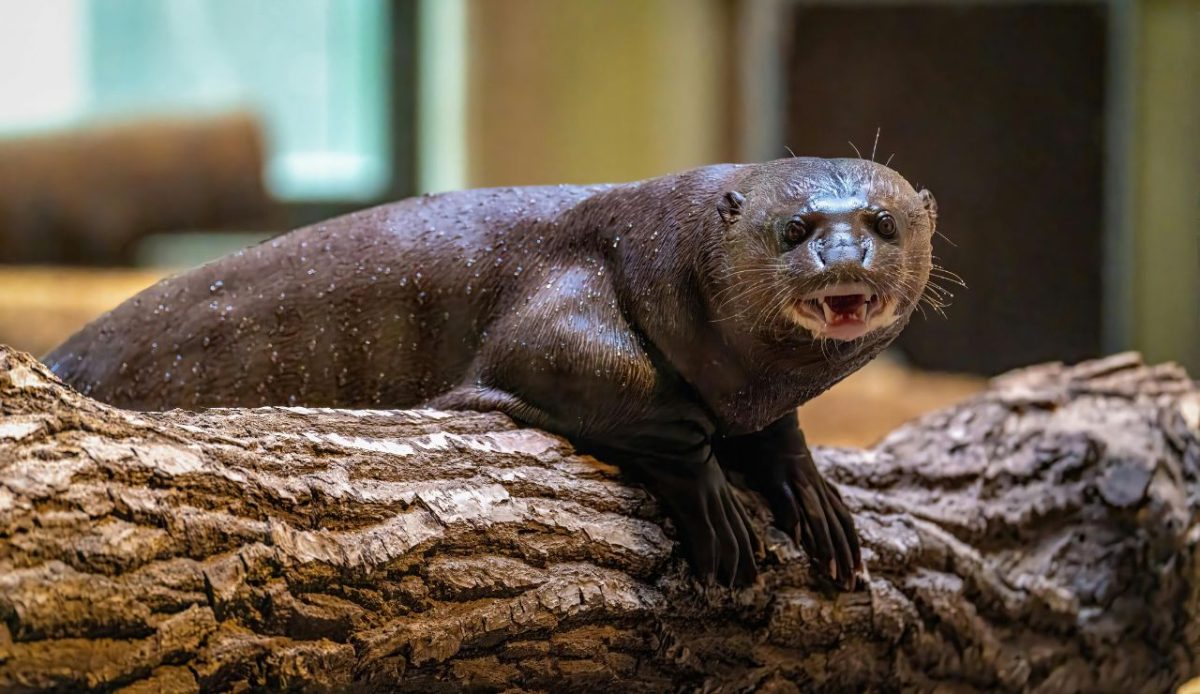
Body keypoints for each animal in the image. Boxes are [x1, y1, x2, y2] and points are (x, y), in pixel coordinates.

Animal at [46, 158, 937, 589]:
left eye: (882, 221)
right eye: (795, 227)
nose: (844, 257)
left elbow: (774, 427)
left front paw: (810, 491)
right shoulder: (567, 297)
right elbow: (621, 389)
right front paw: (715, 502)